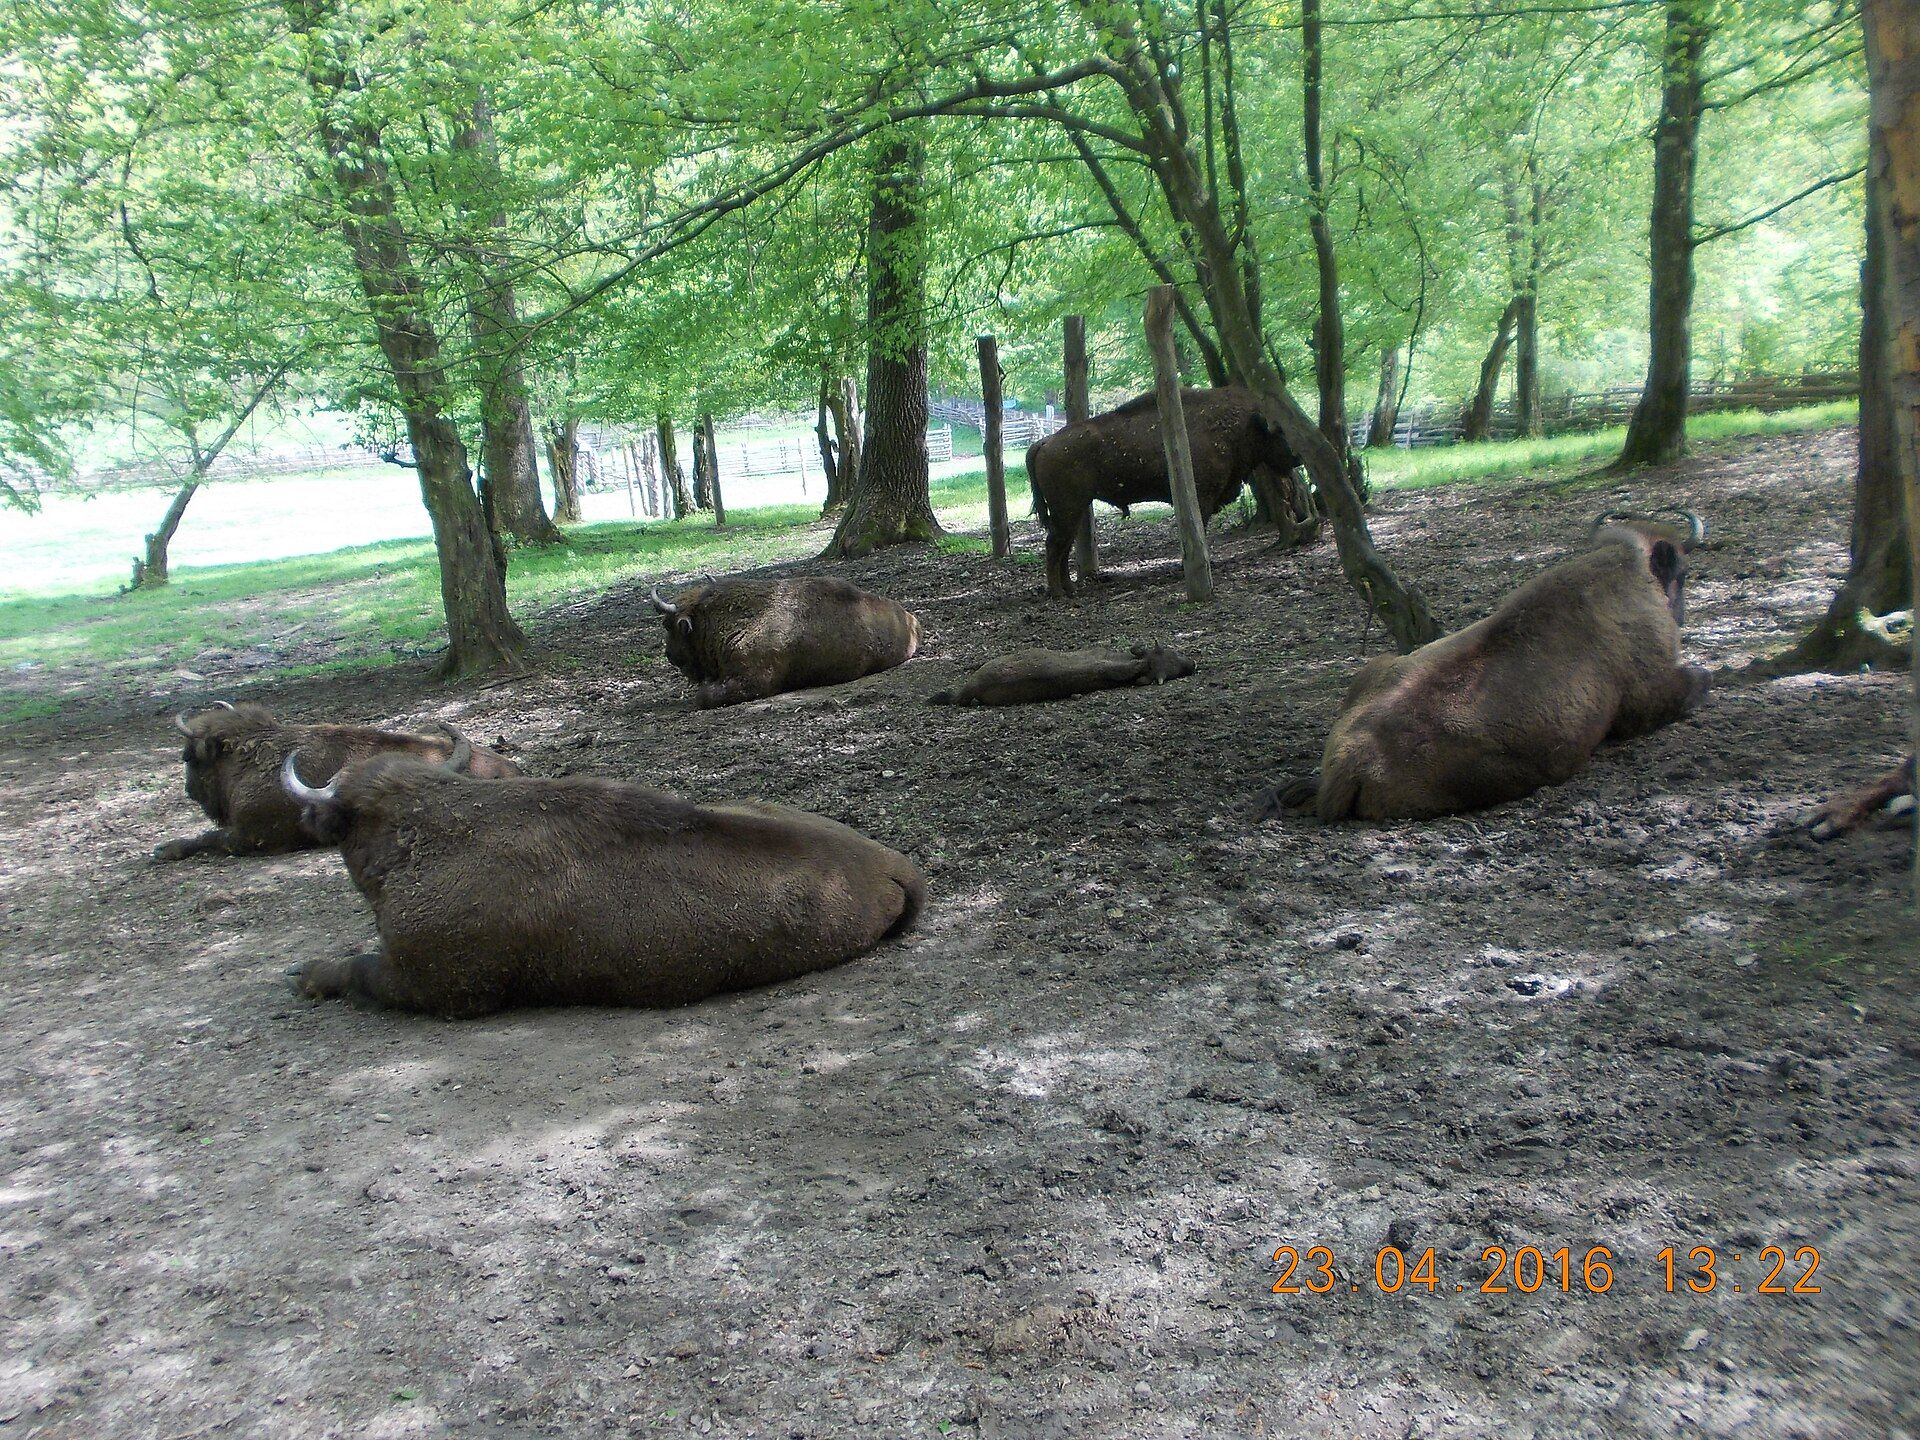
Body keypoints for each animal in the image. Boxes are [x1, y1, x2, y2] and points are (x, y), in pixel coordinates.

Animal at [156, 702, 519, 862]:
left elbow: (211, 837)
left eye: (188, 757)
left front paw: (164, 850)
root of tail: (509, 766)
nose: (189, 790)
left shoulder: (251, 836)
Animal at [1025, 385, 1302, 599]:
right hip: (1067, 510)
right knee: (1054, 545)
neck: (1241, 424)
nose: (1297, 456)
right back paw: (1058, 593)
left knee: (1063, 546)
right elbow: (1200, 532)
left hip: (1073, 511)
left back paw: (1070, 589)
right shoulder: (1202, 500)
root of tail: (1045, 442)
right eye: (1279, 432)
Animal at [1272, 510, 1710, 821]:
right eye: (1683, 575)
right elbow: (1699, 679)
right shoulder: (1647, 698)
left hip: (1377, 666)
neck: (1627, 575)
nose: (1682, 616)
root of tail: (1349, 762)